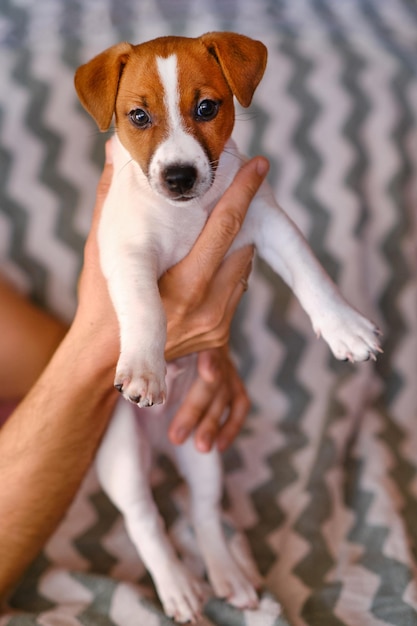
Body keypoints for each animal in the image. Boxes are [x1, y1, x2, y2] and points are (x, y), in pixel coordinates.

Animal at [75, 33, 380, 620]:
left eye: (207, 109)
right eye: (138, 116)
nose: (179, 177)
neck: (187, 216)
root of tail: (164, 446)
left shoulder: (267, 221)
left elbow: (311, 273)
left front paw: (344, 326)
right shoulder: (127, 253)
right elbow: (146, 309)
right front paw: (145, 367)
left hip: (203, 447)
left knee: (204, 512)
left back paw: (227, 575)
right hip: (121, 455)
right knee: (146, 521)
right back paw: (177, 586)